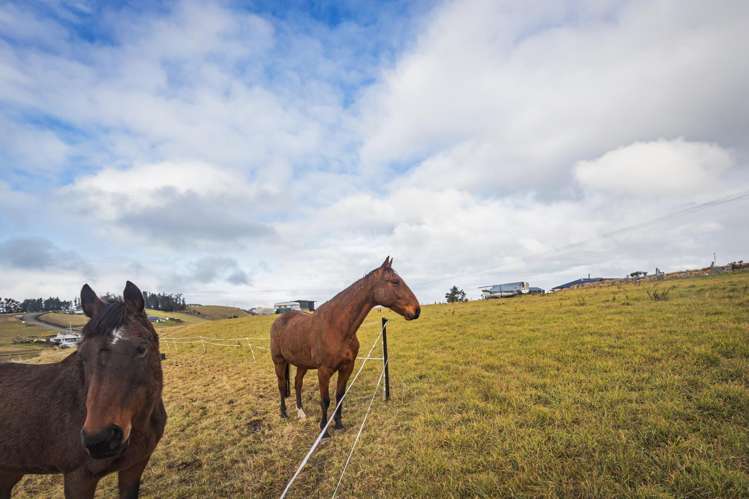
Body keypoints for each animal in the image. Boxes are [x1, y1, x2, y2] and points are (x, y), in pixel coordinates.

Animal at [270, 258, 420, 438]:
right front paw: (324, 430)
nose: (416, 310)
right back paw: (284, 413)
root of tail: (280, 318)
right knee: (281, 385)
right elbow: (325, 399)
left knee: (297, 384)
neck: (337, 327)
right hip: (279, 362)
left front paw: (339, 424)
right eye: (395, 281)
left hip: (302, 364)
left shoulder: (347, 367)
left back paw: (301, 413)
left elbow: (339, 395)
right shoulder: (324, 371)